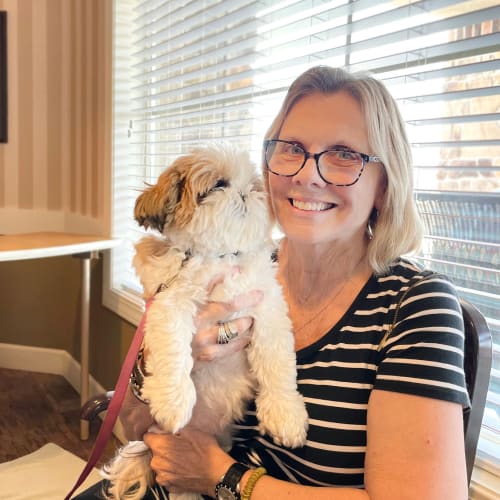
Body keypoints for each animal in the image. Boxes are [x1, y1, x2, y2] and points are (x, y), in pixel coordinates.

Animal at [102, 144, 308, 500]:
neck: (219, 258)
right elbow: (174, 349)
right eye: (218, 185)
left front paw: (286, 414)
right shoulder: (168, 301)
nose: (245, 192)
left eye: (254, 185)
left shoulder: (267, 307)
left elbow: (277, 362)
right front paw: (173, 400)